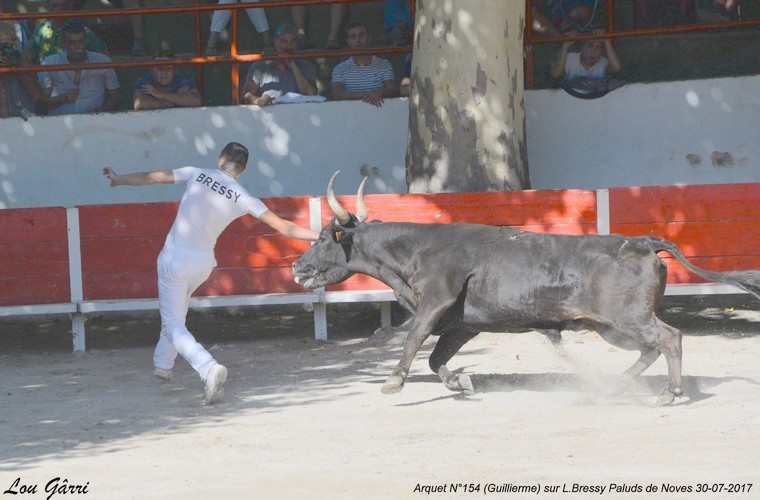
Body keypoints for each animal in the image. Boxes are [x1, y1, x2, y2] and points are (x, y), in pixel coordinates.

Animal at [292, 176, 760, 406]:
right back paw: (609, 387)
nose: (297, 266)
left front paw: (392, 383)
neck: (417, 249)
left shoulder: (434, 304)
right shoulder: (463, 324)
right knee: (651, 348)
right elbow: (436, 358)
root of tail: (644, 242)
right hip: (612, 327)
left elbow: (412, 341)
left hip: (628, 318)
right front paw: (460, 384)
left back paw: (670, 393)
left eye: (324, 238)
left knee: (669, 338)